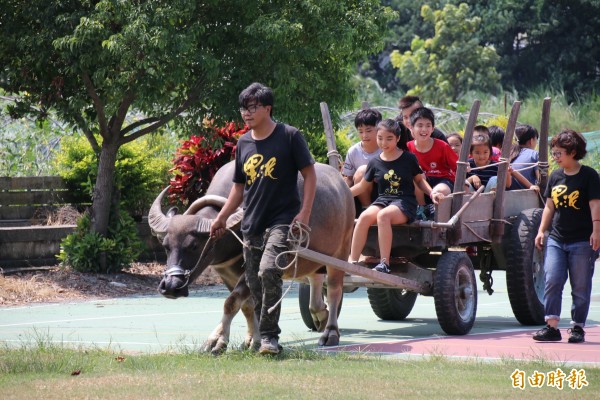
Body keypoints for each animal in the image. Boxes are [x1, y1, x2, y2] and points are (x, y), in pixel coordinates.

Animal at [149, 161, 356, 352]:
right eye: (166, 246)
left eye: (194, 246)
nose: (170, 286)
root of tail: (344, 187)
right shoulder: (226, 273)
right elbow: (247, 305)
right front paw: (252, 340)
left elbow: (231, 302)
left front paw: (217, 341)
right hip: (313, 258)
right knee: (316, 280)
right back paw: (320, 314)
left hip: (340, 254)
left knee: (334, 290)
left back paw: (330, 332)